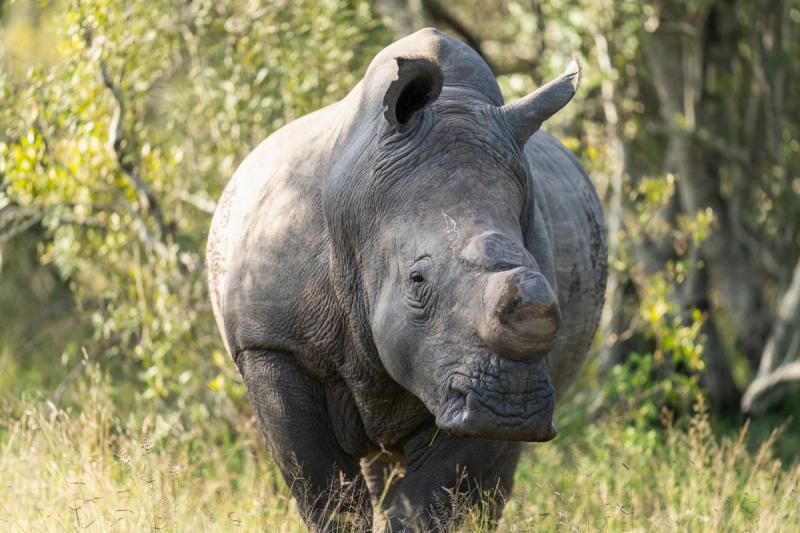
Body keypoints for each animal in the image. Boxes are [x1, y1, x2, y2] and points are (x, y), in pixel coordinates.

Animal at [207, 28, 606, 531]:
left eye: (547, 284)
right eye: (417, 281)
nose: (511, 406)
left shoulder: (461, 376)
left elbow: (432, 500)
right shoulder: (272, 344)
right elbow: (322, 488)